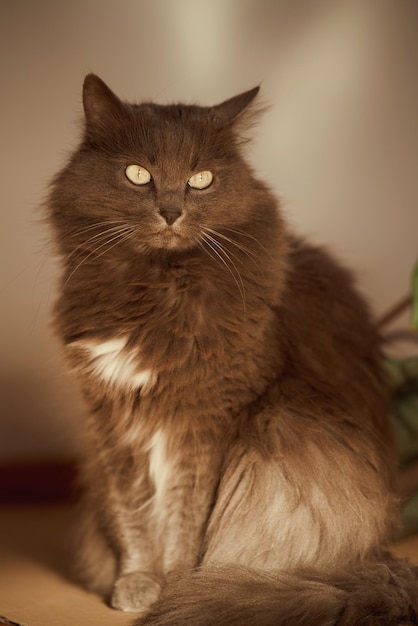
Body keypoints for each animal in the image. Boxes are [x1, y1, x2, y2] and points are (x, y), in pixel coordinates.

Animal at [46, 74, 418, 624]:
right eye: (138, 174)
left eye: (200, 179)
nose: (171, 212)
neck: (156, 290)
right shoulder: (113, 421)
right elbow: (134, 515)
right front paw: (135, 584)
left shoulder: (207, 422)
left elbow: (185, 517)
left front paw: (177, 583)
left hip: (283, 426)